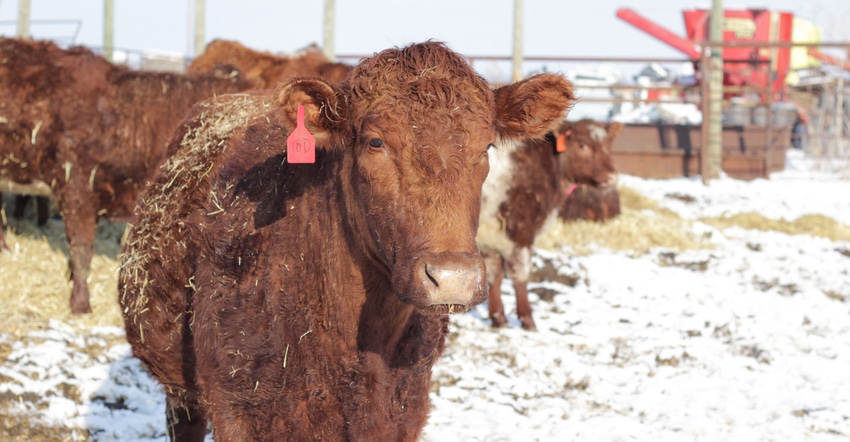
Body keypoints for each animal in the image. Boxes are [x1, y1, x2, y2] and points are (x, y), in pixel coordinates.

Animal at [476, 119, 624, 330]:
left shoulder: (492, 235)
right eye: (582, 145)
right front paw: (527, 319)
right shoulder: (521, 232)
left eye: (608, 145)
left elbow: (494, 275)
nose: (612, 177)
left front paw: (498, 318)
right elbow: (520, 275)